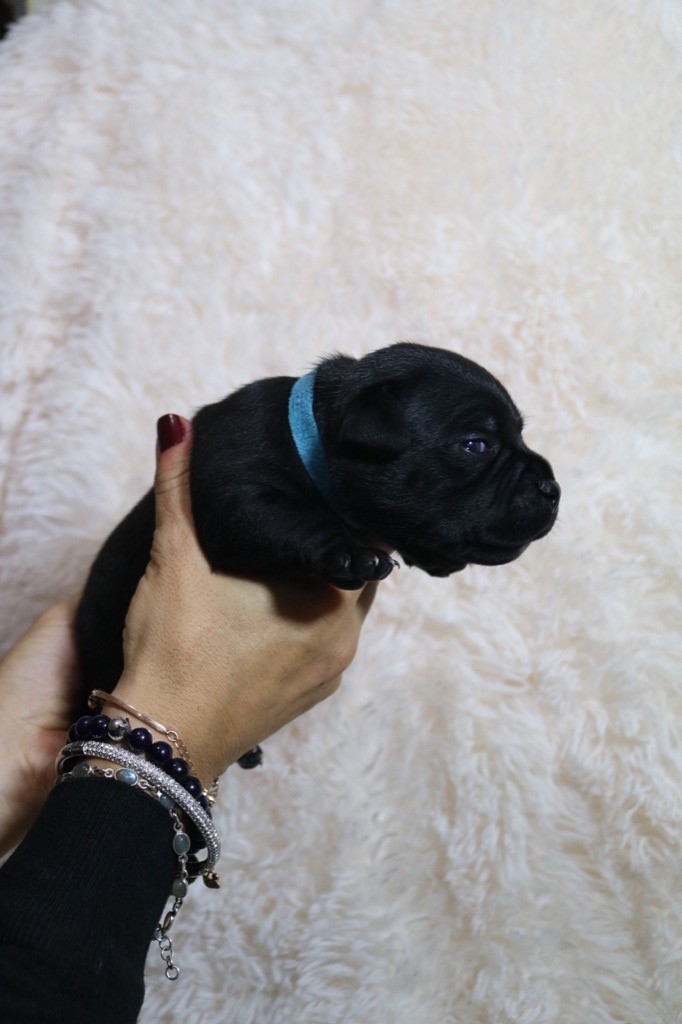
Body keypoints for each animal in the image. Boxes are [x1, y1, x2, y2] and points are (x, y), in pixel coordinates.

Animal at [75, 342, 560, 749]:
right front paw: (353, 555)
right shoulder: (236, 496)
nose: (552, 488)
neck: (316, 443)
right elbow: (295, 517)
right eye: (476, 445)